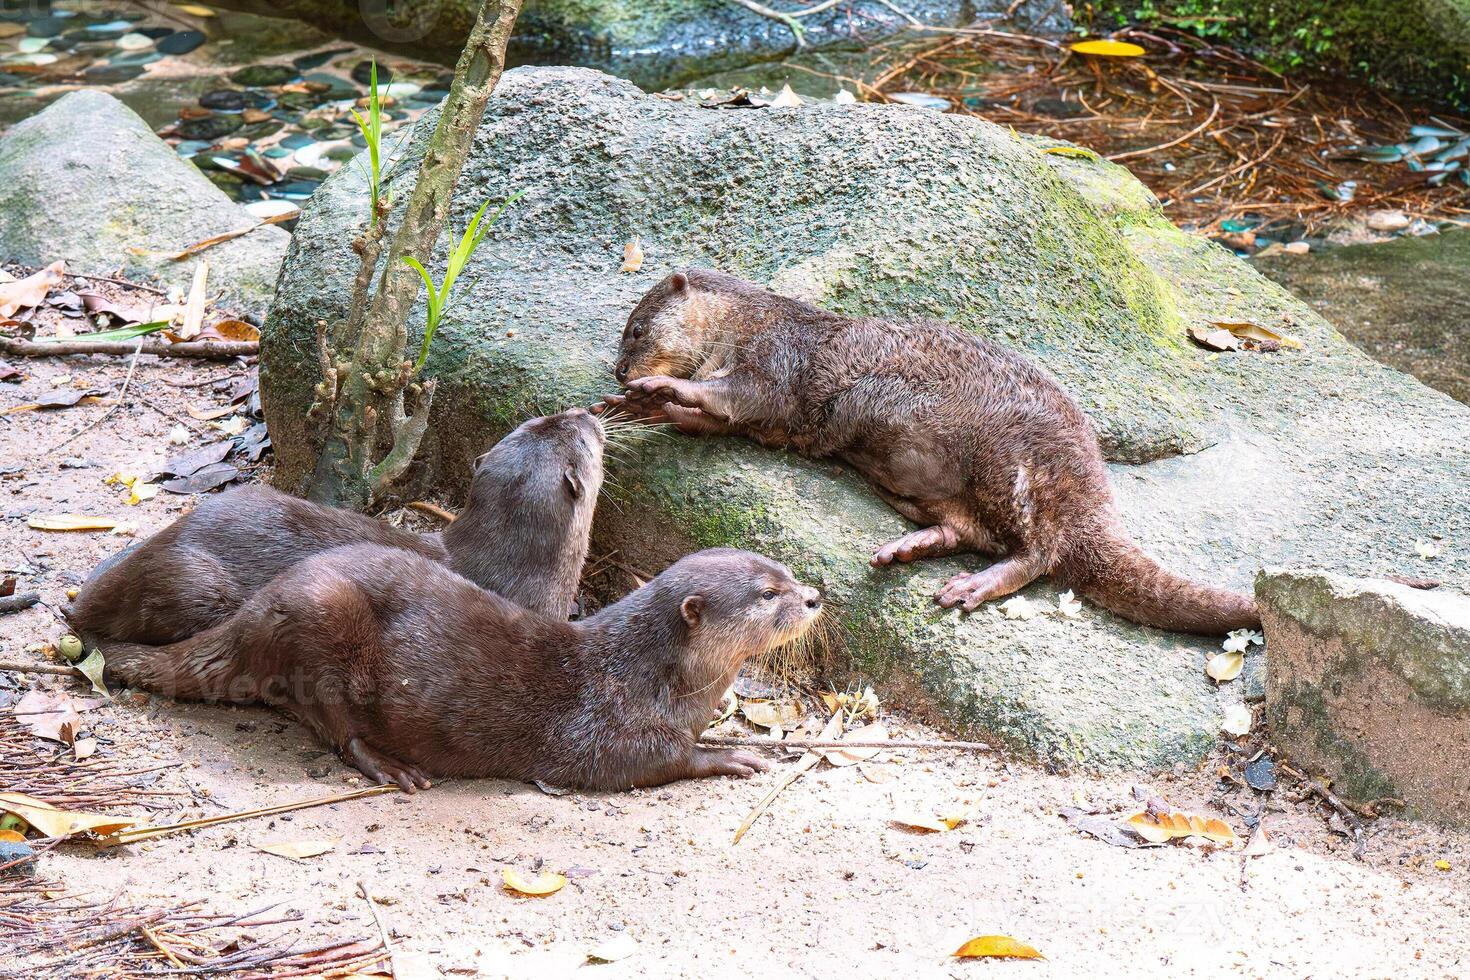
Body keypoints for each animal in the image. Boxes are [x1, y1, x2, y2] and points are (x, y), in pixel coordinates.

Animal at [99, 549, 823, 793]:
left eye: (787, 572)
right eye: (766, 594)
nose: (816, 597)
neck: (649, 677)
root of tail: (255, 610)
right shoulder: (605, 728)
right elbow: (647, 762)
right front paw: (729, 757)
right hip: (320, 619)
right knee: (333, 724)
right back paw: (393, 767)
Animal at [596, 268, 1264, 637]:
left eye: (634, 329)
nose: (620, 367)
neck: (750, 325)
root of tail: (1089, 472)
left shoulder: (776, 365)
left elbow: (734, 397)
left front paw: (659, 389)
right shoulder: (765, 411)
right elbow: (716, 421)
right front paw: (642, 405)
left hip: (1011, 464)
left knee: (1042, 551)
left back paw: (972, 585)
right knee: (973, 532)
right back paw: (909, 548)